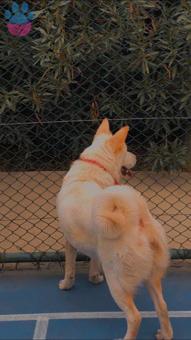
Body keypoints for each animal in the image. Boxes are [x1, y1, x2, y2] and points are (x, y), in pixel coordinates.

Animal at [57, 119, 173, 340]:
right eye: (127, 150)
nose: (137, 157)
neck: (93, 170)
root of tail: (138, 217)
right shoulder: (94, 248)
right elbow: (93, 262)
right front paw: (94, 278)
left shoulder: (69, 241)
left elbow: (69, 269)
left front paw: (66, 285)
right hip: (152, 278)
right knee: (162, 306)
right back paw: (165, 334)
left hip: (117, 282)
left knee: (135, 317)